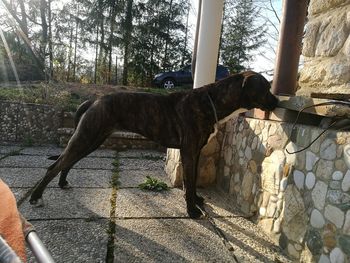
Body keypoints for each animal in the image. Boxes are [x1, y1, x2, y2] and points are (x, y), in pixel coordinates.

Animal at [29, 71, 276, 220]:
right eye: (265, 88)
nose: (277, 102)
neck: (212, 101)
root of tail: (94, 100)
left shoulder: (195, 153)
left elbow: (192, 181)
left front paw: (196, 200)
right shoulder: (188, 151)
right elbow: (189, 182)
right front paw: (191, 210)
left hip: (90, 140)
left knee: (66, 163)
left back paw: (62, 183)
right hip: (86, 138)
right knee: (55, 165)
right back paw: (35, 197)